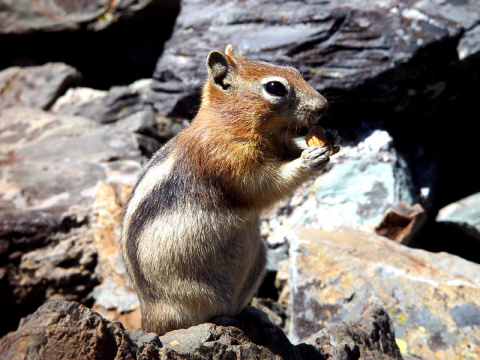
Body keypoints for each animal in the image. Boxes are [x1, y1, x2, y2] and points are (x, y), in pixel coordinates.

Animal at [120, 45, 342, 334]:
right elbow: (262, 185)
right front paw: (308, 159)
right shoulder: (226, 159)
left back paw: (253, 313)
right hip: (195, 292)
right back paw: (223, 321)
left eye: (296, 71)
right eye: (275, 88)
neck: (228, 123)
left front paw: (333, 137)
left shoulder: (279, 145)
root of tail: (148, 319)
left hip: (257, 263)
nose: (323, 106)